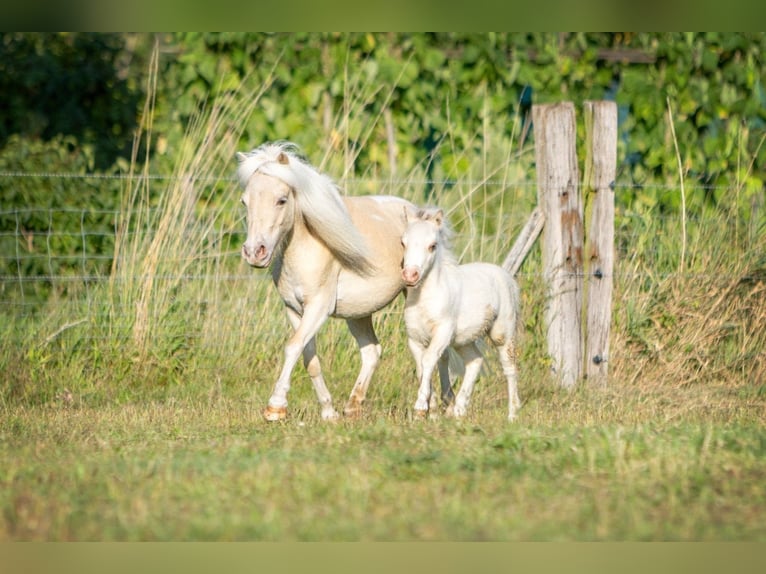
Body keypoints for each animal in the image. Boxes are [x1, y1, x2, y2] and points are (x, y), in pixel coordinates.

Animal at [236, 141, 417, 421]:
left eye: (281, 200)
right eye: (245, 201)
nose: (255, 252)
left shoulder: (318, 307)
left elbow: (292, 347)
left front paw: (275, 408)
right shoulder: (294, 310)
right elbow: (309, 357)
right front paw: (328, 412)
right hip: (359, 313)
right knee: (371, 352)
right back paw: (352, 407)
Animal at [400, 207, 522, 421]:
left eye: (432, 246)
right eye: (403, 243)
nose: (410, 275)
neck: (425, 300)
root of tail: (507, 277)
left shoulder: (443, 332)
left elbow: (429, 360)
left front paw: (421, 406)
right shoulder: (414, 338)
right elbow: (421, 368)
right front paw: (431, 411)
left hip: (502, 333)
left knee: (509, 367)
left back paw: (512, 415)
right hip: (463, 340)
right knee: (475, 360)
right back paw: (459, 410)